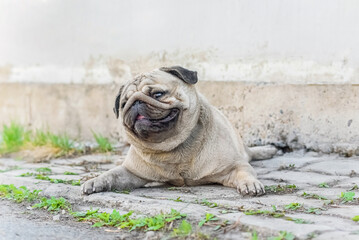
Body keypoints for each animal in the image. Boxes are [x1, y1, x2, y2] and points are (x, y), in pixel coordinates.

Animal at [82, 65, 278, 195]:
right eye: (124, 104)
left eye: (158, 94)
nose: (135, 103)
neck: (171, 146)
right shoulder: (131, 172)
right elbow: (111, 174)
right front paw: (95, 181)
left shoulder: (234, 166)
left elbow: (245, 172)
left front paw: (251, 184)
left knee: (250, 153)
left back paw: (268, 150)